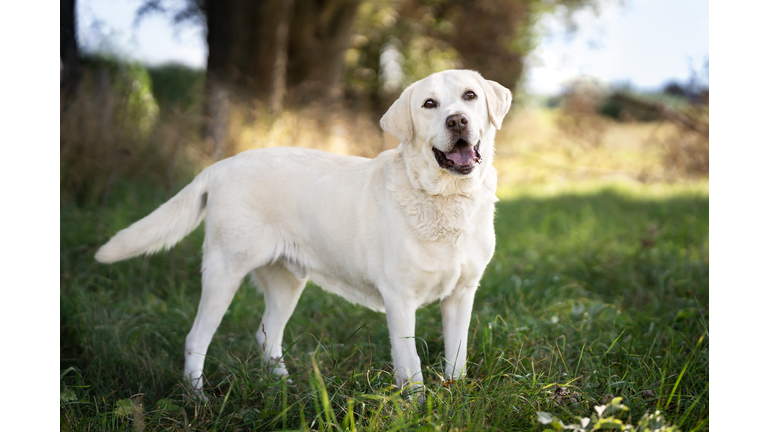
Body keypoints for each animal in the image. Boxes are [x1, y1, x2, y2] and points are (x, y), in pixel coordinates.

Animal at [97, 69, 510, 396]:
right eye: (429, 104)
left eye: (470, 96)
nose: (457, 121)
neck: (447, 200)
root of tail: (220, 166)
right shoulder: (400, 300)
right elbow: (411, 365)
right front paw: (417, 407)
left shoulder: (462, 295)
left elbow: (457, 358)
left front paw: (455, 398)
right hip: (223, 272)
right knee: (196, 338)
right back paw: (197, 397)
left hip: (286, 282)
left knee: (266, 336)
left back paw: (283, 388)